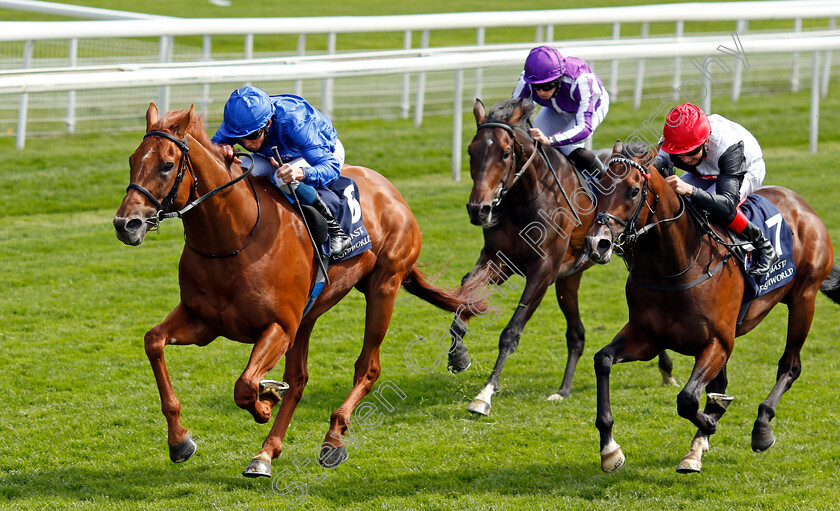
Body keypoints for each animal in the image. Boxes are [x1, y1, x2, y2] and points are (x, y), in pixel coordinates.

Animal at [115, 104, 488, 480]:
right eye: (131, 159)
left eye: (166, 164)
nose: (126, 224)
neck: (235, 238)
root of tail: (390, 190)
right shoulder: (203, 322)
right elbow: (153, 341)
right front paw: (180, 440)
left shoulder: (279, 326)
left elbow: (245, 385)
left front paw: (265, 403)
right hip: (310, 314)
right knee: (298, 379)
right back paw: (266, 452)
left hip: (384, 285)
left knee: (367, 367)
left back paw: (333, 439)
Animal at [446, 98, 676, 418]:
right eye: (471, 150)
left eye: (505, 153)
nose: (478, 210)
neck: (526, 198)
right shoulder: (498, 261)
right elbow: (465, 294)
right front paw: (459, 356)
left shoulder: (542, 270)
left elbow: (511, 332)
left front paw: (484, 395)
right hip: (570, 277)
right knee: (576, 333)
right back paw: (564, 389)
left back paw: (666, 370)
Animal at [584, 141, 840, 476]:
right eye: (600, 186)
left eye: (633, 191)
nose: (596, 244)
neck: (675, 266)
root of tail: (803, 205)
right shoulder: (647, 338)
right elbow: (603, 360)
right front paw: (609, 449)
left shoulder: (717, 341)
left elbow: (687, 399)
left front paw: (710, 422)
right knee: (722, 382)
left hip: (804, 299)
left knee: (790, 366)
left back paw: (761, 427)